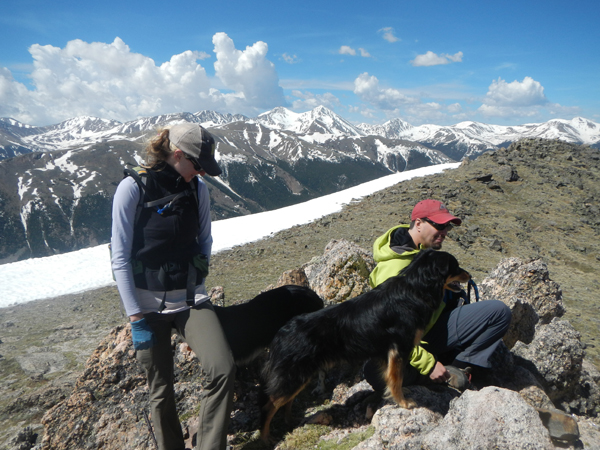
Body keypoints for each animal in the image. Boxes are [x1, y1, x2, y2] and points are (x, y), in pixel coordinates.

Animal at [260, 248, 472, 442]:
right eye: (455, 266)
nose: (469, 275)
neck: (416, 288)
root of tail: (281, 333)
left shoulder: (388, 354)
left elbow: (391, 378)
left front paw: (397, 395)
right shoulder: (399, 348)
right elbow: (396, 378)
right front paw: (403, 403)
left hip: (300, 375)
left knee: (286, 401)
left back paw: (290, 421)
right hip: (294, 374)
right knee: (269, 405)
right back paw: (265, 437)